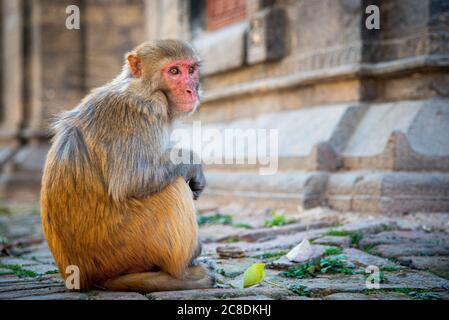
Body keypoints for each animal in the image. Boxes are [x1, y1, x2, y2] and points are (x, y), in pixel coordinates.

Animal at [39, 40, 214, 292]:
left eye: (191, 70)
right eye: (174, 71)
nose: (192, 89)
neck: (143, 86)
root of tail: (85, 277)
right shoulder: (141, 109)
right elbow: (132, 179)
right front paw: (193, 164)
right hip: (125, 247)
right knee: (173, 188)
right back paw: (182, 274)